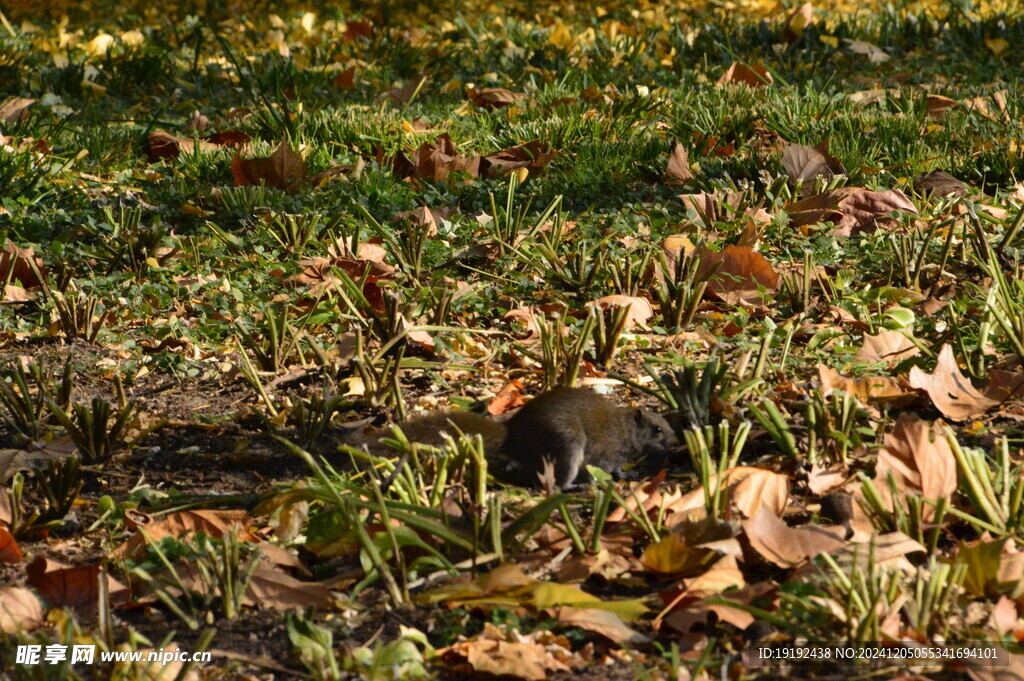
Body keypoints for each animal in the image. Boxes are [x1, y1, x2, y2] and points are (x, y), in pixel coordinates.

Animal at [350, 387, 679, 489]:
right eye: (657, 429)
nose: (676, 443)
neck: (626, 430)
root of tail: (515, 437)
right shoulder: (607, 453)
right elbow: (610, 468)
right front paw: (623, 476)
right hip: (568, 447)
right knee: (556, 483)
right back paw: (574, 487)